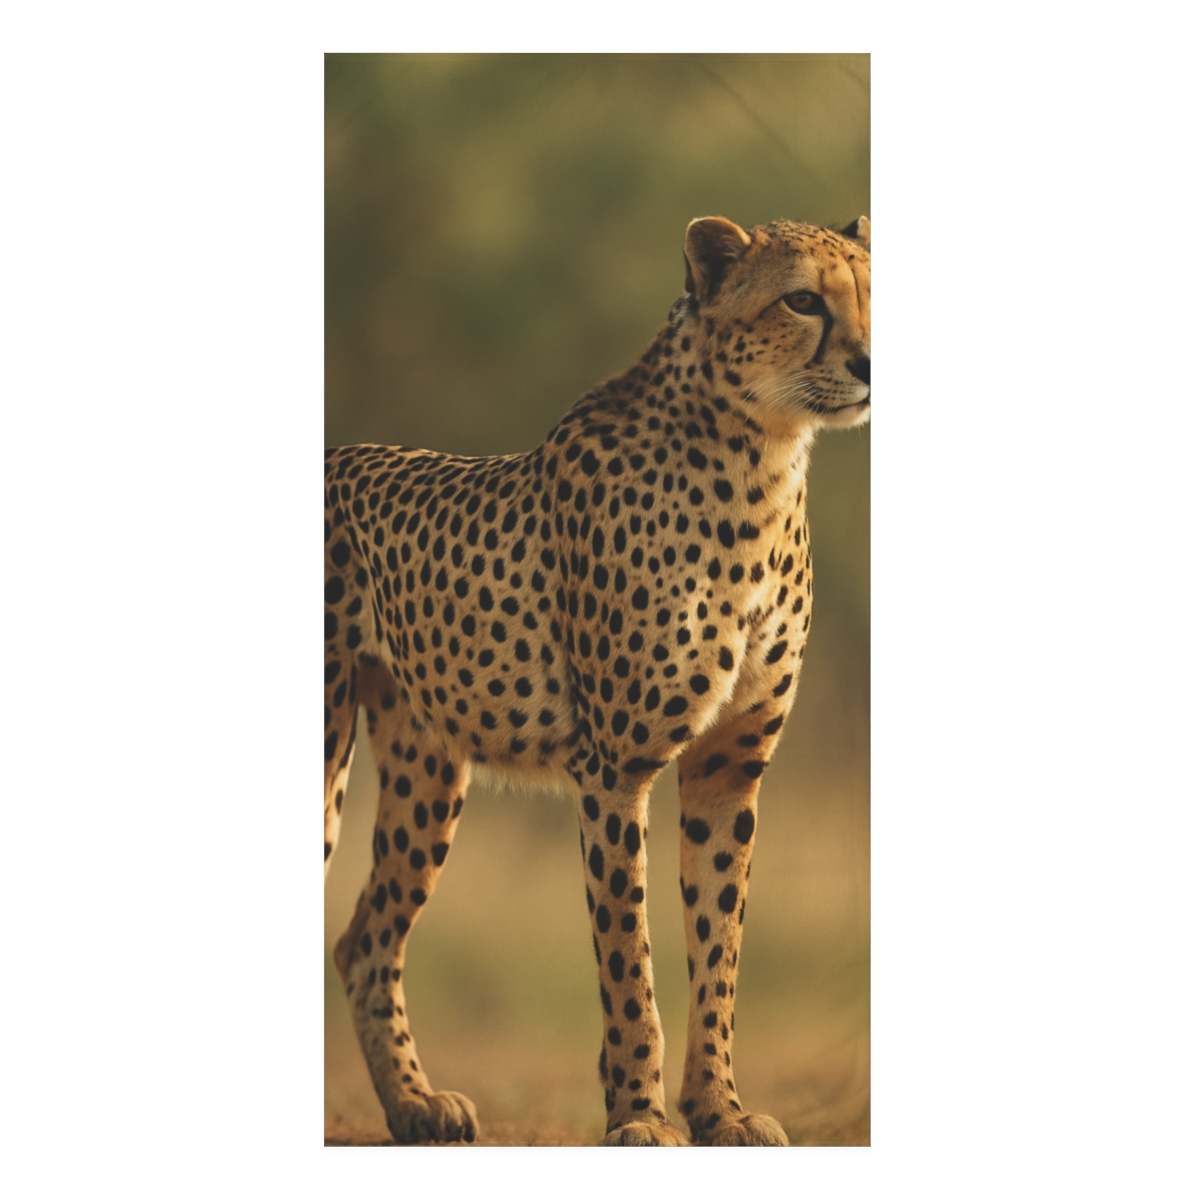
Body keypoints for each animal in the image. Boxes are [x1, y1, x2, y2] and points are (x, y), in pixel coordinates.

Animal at [324, 213, 870, 1146]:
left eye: (872, 291)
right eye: (803, 300)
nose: (871, 362)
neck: (760, 457)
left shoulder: (729, 767)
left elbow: (718, 950)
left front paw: (720, 1110)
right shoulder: (614, 766)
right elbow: (628, 961)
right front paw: (640, 1116)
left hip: (427, 769)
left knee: (364, 940)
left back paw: (414, 1104)